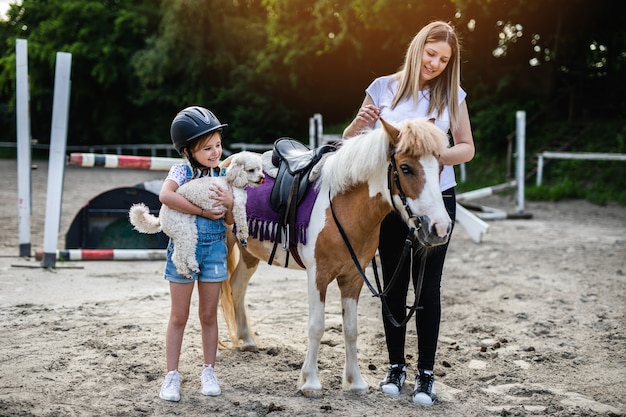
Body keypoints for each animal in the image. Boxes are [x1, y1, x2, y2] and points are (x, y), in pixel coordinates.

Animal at [219, 117, 448, 396]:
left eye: (441, 167)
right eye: (405, 168)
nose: (439, 228)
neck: (344, 206)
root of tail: (227, 163)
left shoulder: (353, 277)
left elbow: (350, 329)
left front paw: (355, 381)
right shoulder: (318, 275)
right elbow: (316, 326)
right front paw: (310, 381)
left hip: (249, 252)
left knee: (237, 286)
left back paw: (247, 340)